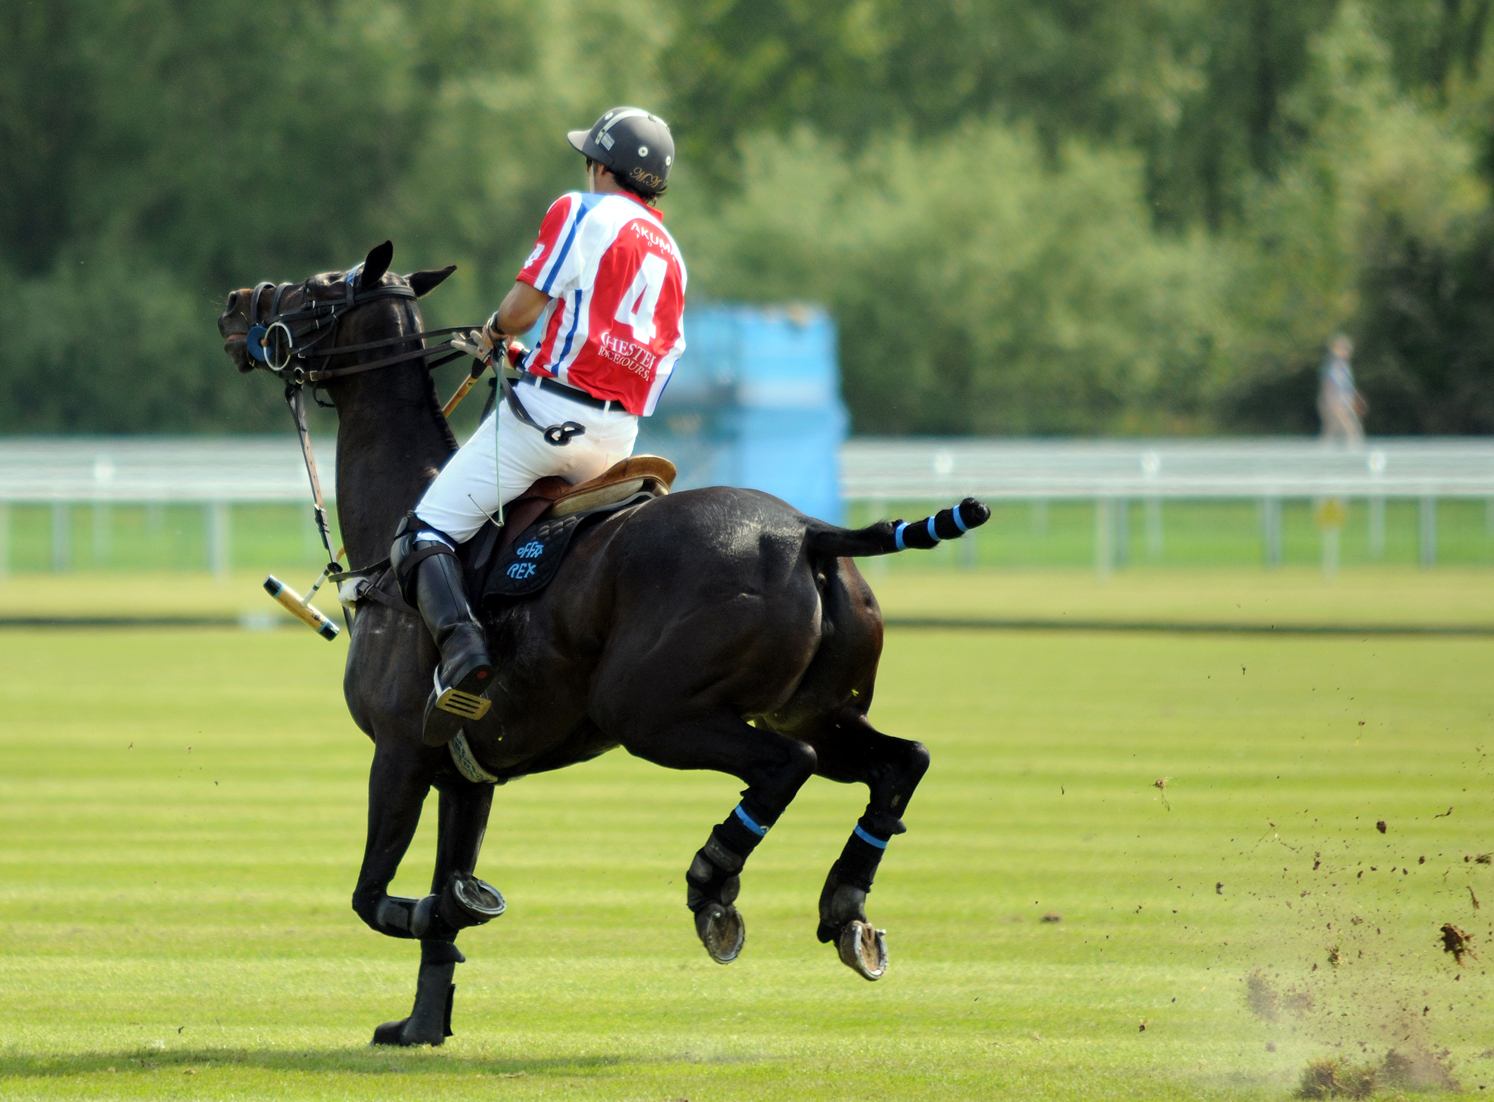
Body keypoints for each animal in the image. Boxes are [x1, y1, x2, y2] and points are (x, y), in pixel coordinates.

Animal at [216, 241, 986, 1045]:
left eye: (319, 288)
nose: (236, 305)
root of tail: (808, 532)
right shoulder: (466, 773)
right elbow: (442, 898)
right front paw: (423, 1022)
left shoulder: (398, 751)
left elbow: (375, 897)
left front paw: (453, 909)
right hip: (817, 709)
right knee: (901, 762)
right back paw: (845, 909)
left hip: (651, 712)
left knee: (788, 765)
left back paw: (714, 885)